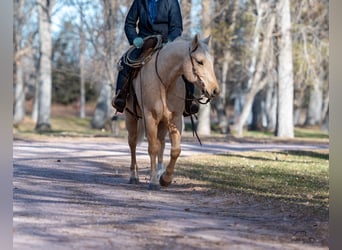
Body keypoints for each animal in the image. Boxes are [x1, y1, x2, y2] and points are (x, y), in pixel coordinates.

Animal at [124, 33, 218, 189]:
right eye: (200, 62)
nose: (215, 90)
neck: (164, 81)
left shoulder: (175, 118)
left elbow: (175, 150)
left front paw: (165, 178)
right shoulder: (150, 117)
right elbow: (152, 148)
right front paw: (153, 181)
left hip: (163, 122)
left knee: (161, 143)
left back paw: (159, 172)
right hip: (130, 116)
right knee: (132, 143)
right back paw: (133, 176)